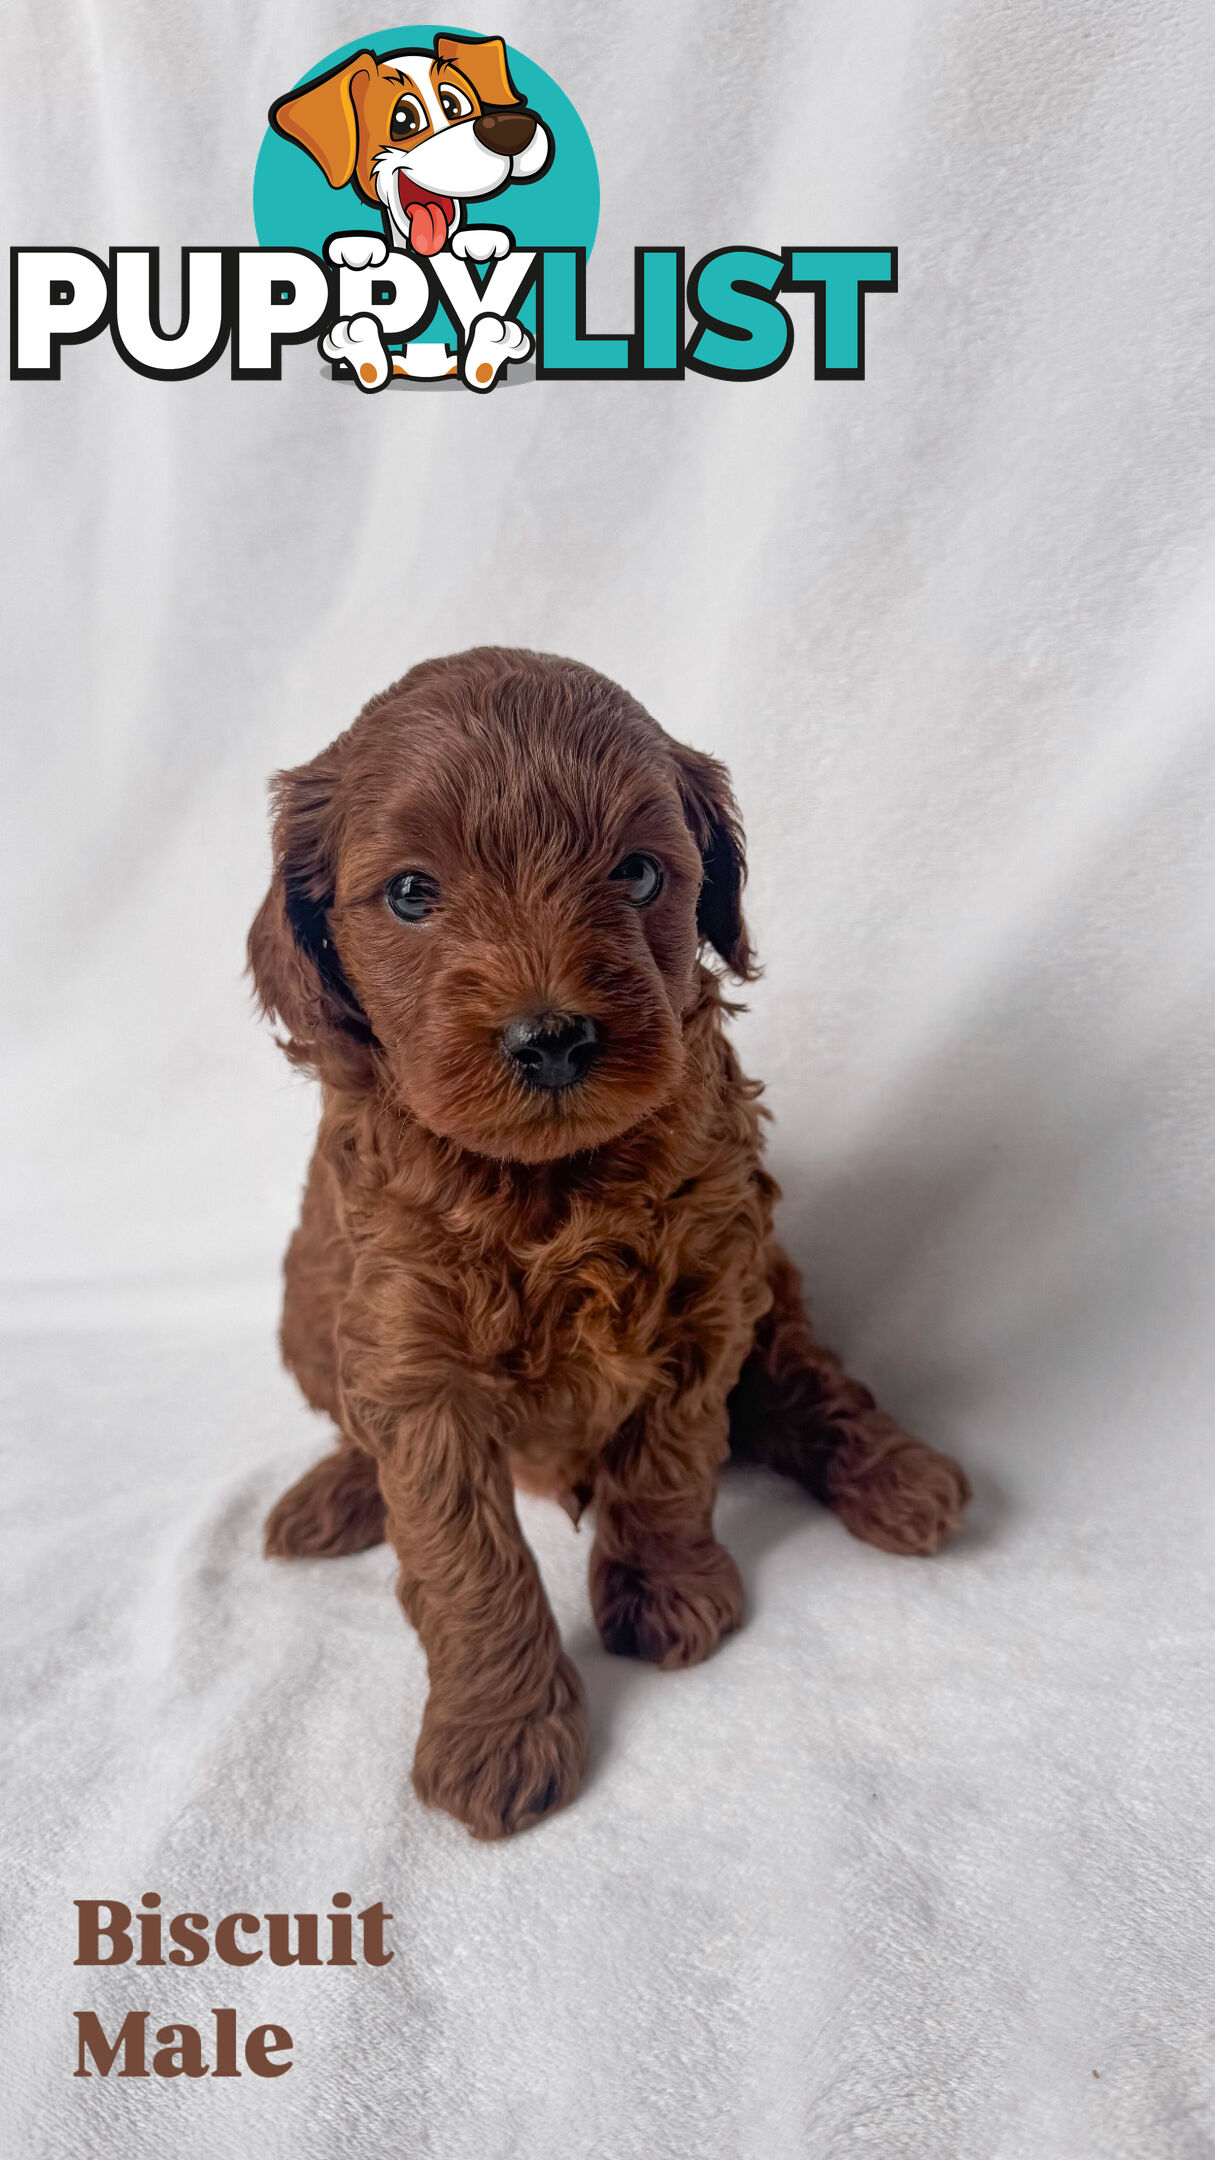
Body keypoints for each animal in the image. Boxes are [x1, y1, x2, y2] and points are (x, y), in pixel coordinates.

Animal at [248, 643, 964, 1840]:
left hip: (776, 1290)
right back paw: (335, 1498)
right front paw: (498, 1735)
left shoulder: (707, 1297)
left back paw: (902, 1479)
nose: (551, 1038)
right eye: (410, 893)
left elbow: (668, 1464)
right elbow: (463, 1557)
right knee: (350, 1421)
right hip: (306, 1312)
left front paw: (666, 1595)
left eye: (635, 874)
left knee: (807, 1391)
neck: (549, 1188)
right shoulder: (413, 1356)